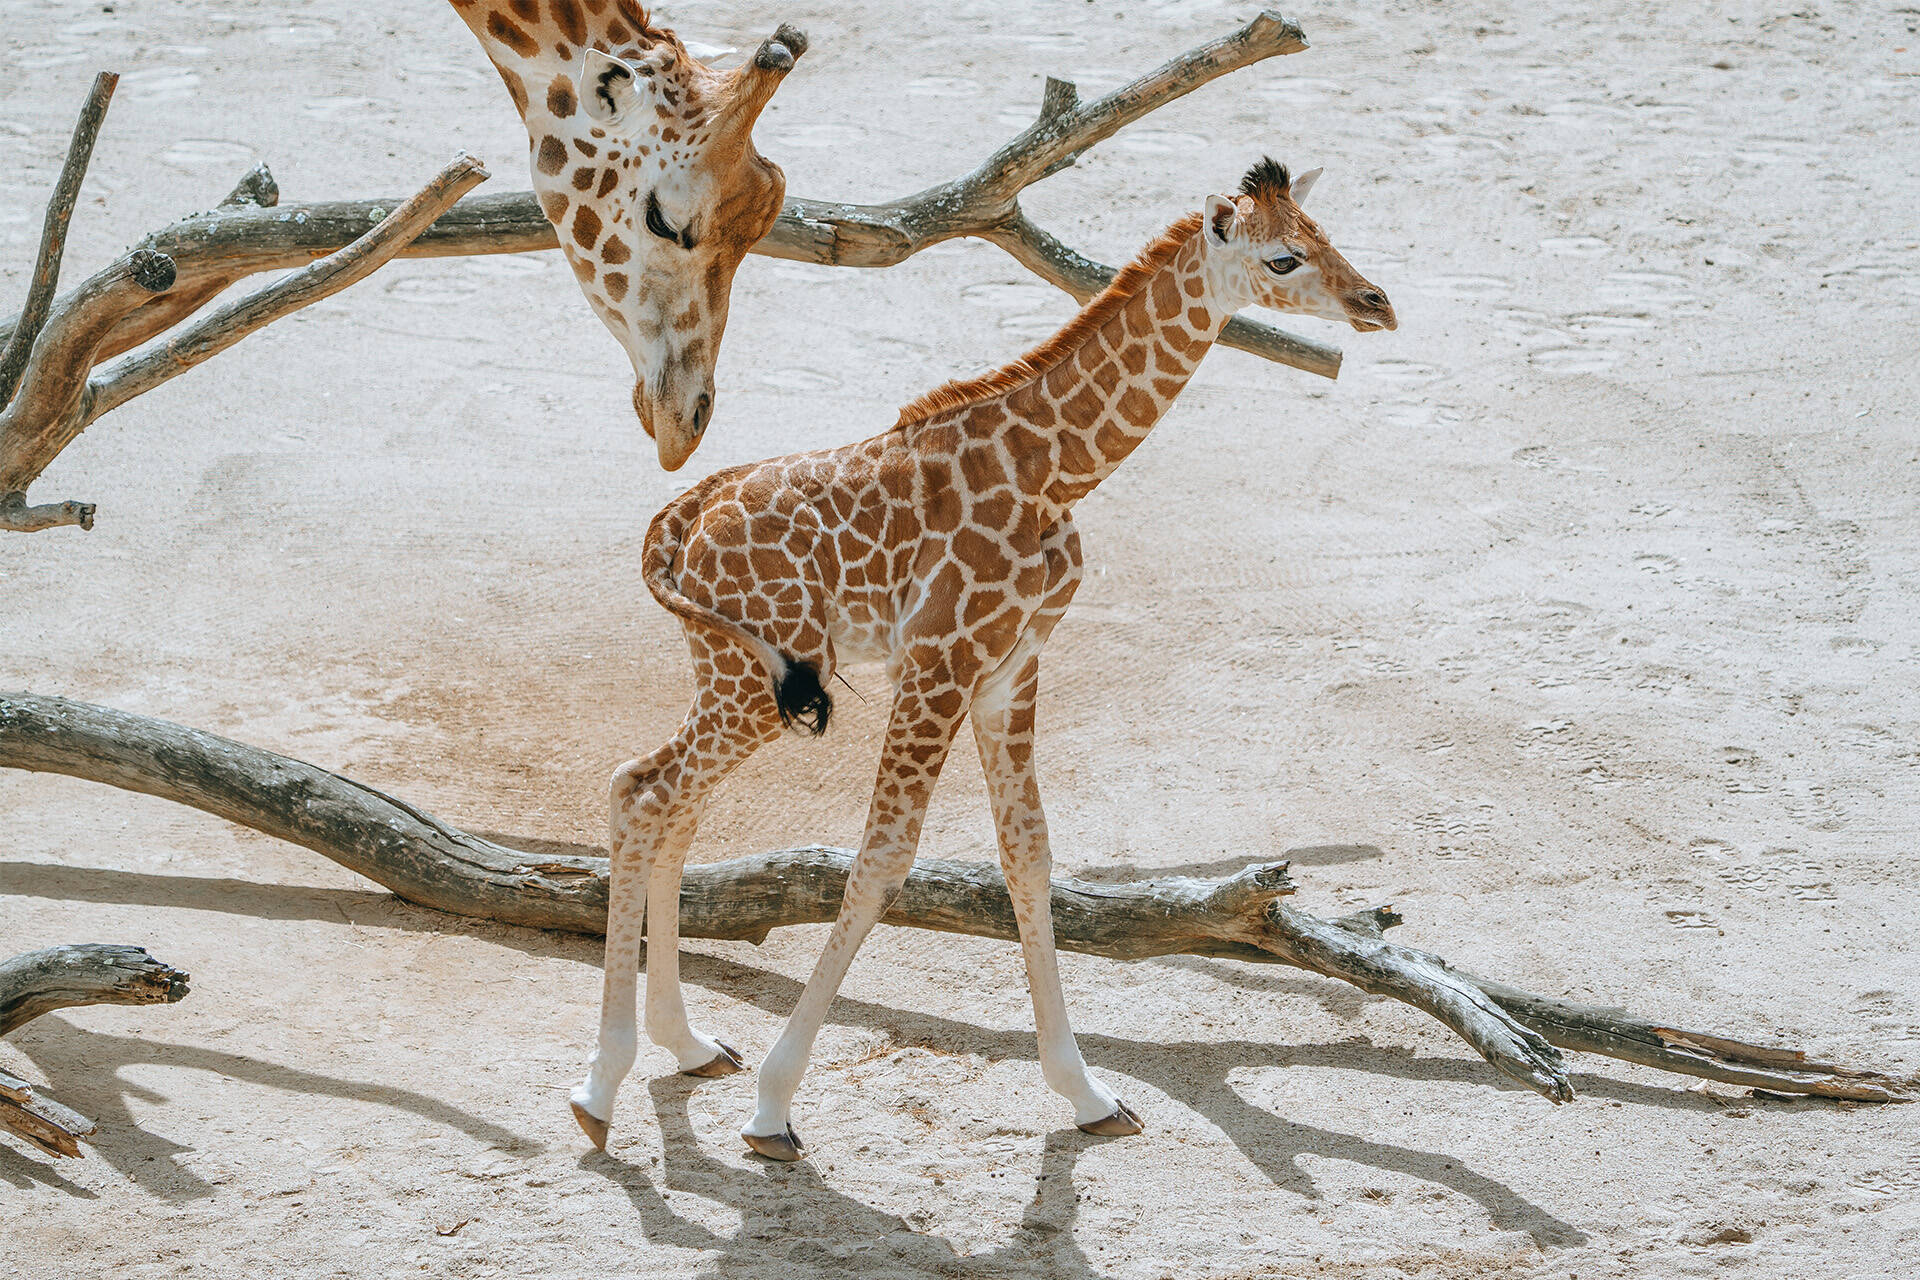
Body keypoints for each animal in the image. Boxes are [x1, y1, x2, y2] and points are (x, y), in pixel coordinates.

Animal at [571, 158, 1397, 1160]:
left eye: (1323, 232)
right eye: (1283, 258)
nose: (1377, 303)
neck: (1056, 468)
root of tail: (677, 521)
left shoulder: (1010, 664)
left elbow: (1029, 855)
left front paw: (1088, 1095)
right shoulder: (939, 658)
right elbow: (884, 858)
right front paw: (774, 1109)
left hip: (738, 677)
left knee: (668, 803)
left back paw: (685, 1046)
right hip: (753, 681)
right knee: (642, 790)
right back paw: (601, 1087)